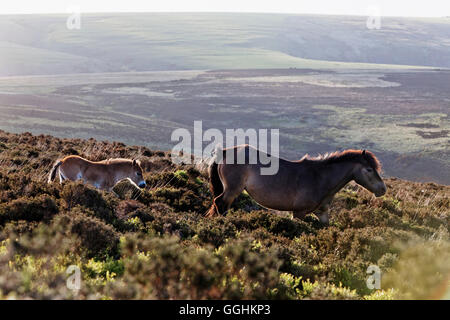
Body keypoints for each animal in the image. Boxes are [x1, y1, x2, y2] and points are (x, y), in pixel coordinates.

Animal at [207, 144, 386, 224]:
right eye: (369, 169)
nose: (382, 189)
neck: (320, 178)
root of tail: (224, 152)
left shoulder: (322, 213)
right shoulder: (299, 213)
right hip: (232, 190)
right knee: (220, 203)